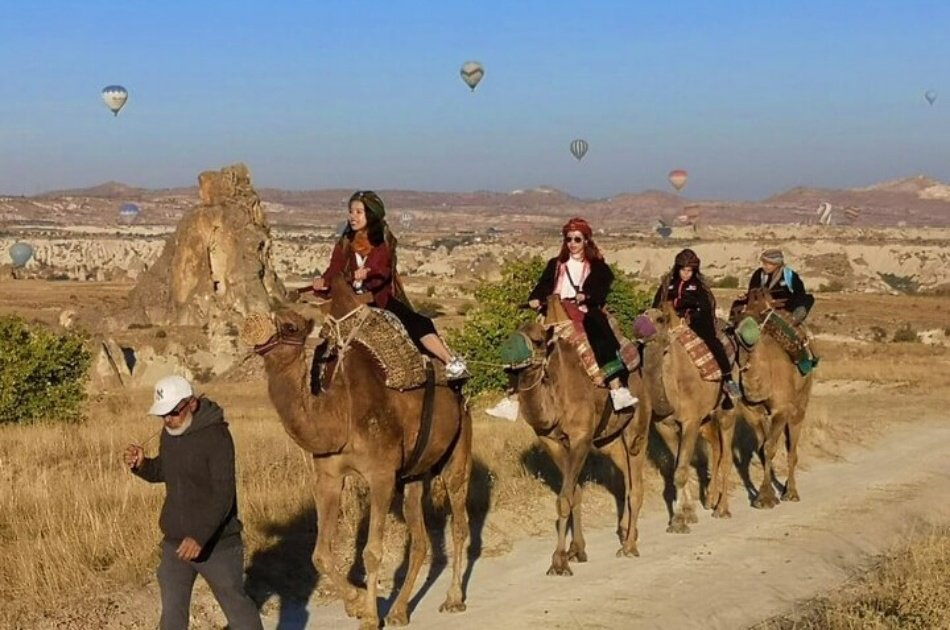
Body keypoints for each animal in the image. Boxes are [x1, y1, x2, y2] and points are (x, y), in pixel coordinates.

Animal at [242, 276, 472, 630]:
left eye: (292, 325)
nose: (253, 326)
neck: (340, 413)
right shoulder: (327, 476)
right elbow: (320, 554)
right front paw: (357, 603)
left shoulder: (381, 475)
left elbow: (371, 552)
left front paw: (369, 615)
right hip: (415, 473)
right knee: (420, 539)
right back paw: (399, 611)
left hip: (457, 452)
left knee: (459, 523)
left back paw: (453, 599)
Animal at [506, 296, 656, 576]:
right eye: (513, 335)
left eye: (538, 340)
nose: (511, 357)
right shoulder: (552, 442)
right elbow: (573, 494)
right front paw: (576, 550)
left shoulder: (580, 438)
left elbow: (565, 498)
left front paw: (558, 561)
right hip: (609, 441)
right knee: (626, 478)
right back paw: (628, 533)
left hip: (638, 428)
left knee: (636, 485)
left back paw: (629, 546)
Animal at [640, 302, 744, 532]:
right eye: (641, 315)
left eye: (660, 319)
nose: (639, 327)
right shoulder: (665, 425)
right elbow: (678, 467)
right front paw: (689, 514)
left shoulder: (690, 421)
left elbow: (680, 471)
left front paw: (678, 521)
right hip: (705, 421)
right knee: (716, 448)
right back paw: (711, 499)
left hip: (727, 410)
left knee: (727, 454)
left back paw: (722, 509)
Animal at [736, 288, 820, 512]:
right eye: (739, 311)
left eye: (763, 312)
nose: (743, 331)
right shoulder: (751, 411)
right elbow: (762, 448)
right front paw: (765, 495)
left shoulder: (781, 409)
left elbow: (769, 448)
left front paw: (765, 498)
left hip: (800, 404)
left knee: (792, 449)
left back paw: (791, 493)